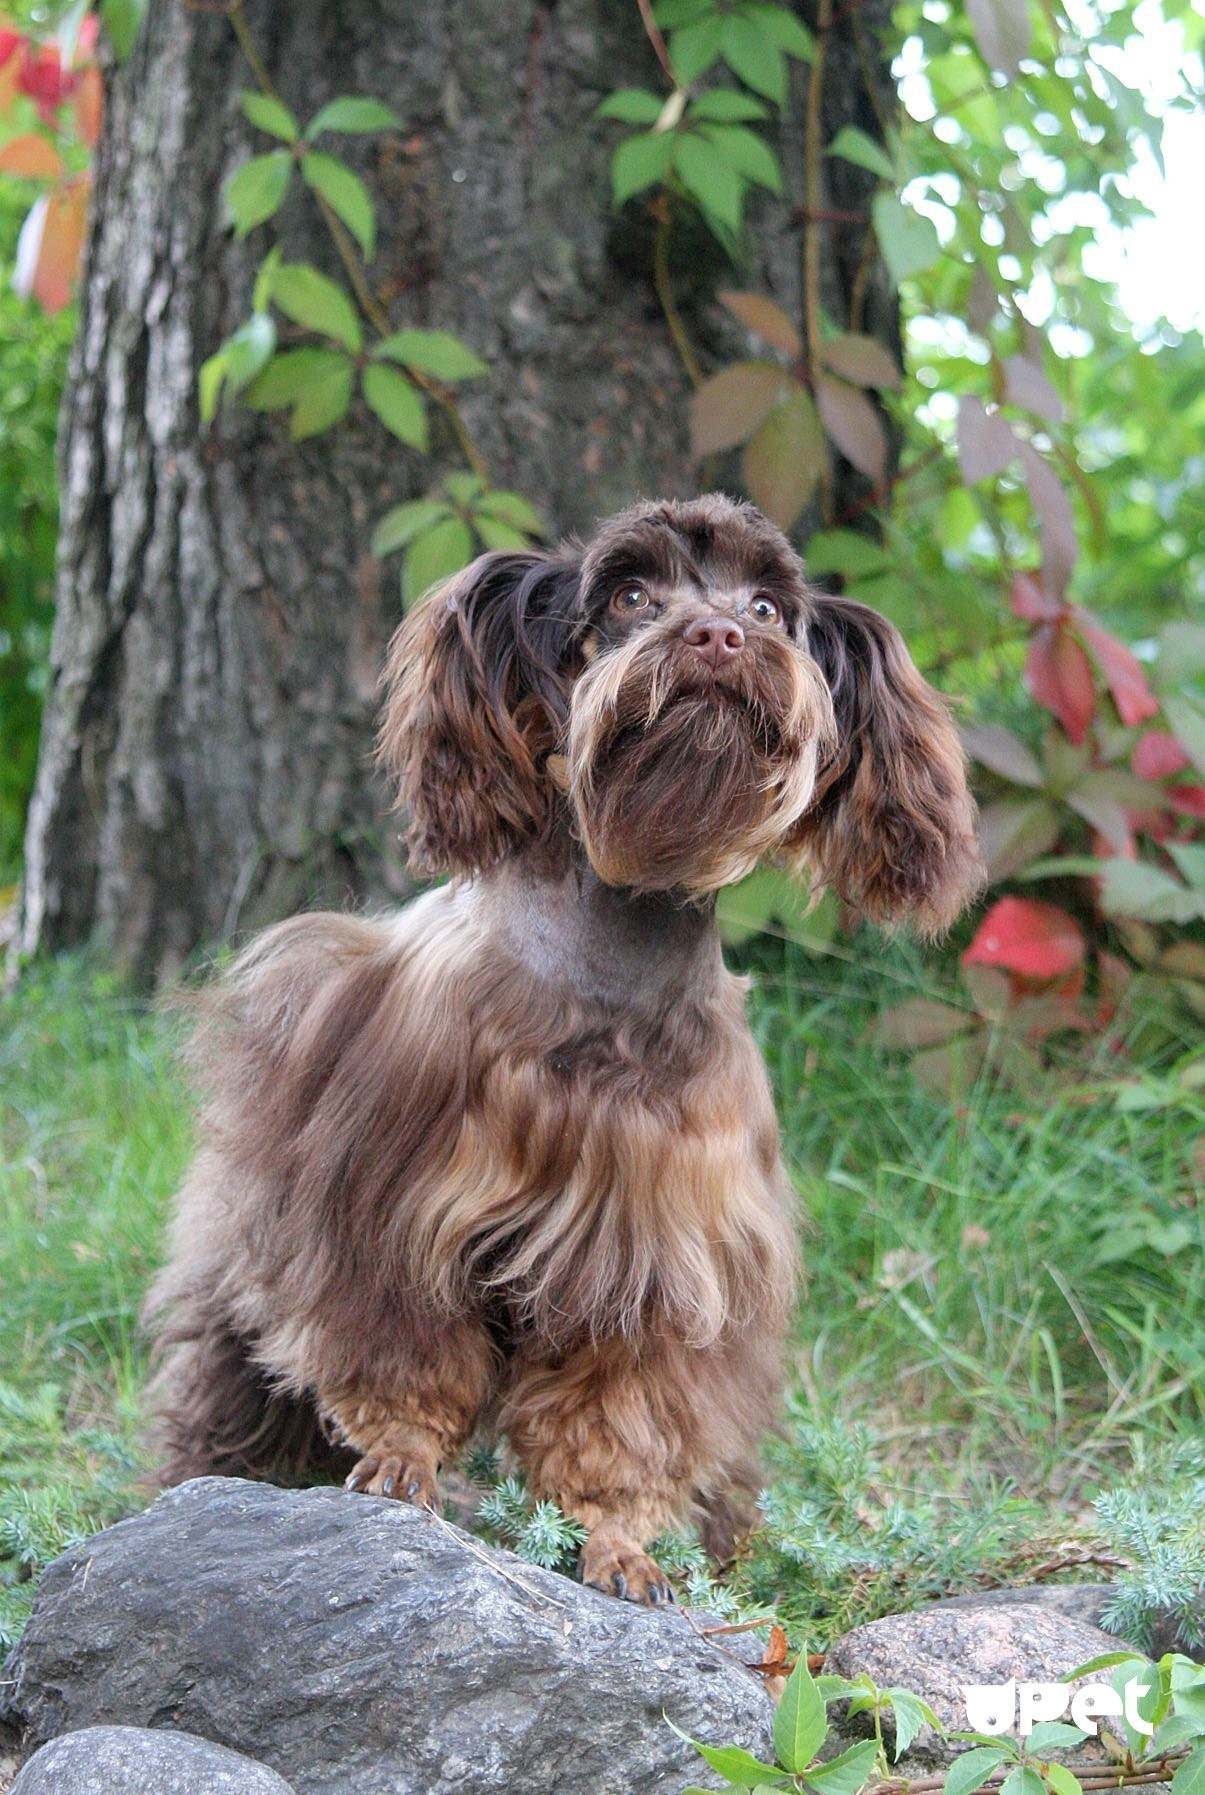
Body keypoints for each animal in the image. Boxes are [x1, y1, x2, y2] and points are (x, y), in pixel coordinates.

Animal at [146, 499, 984, 1608]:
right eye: (628, 594)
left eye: (768, 607)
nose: (718, 635)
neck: (610, 968)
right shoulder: (387, 1205)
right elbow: (399, 1357)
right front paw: (401, 1460)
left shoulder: (657, 1264)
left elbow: (618, 1424)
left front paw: (618, 1544)